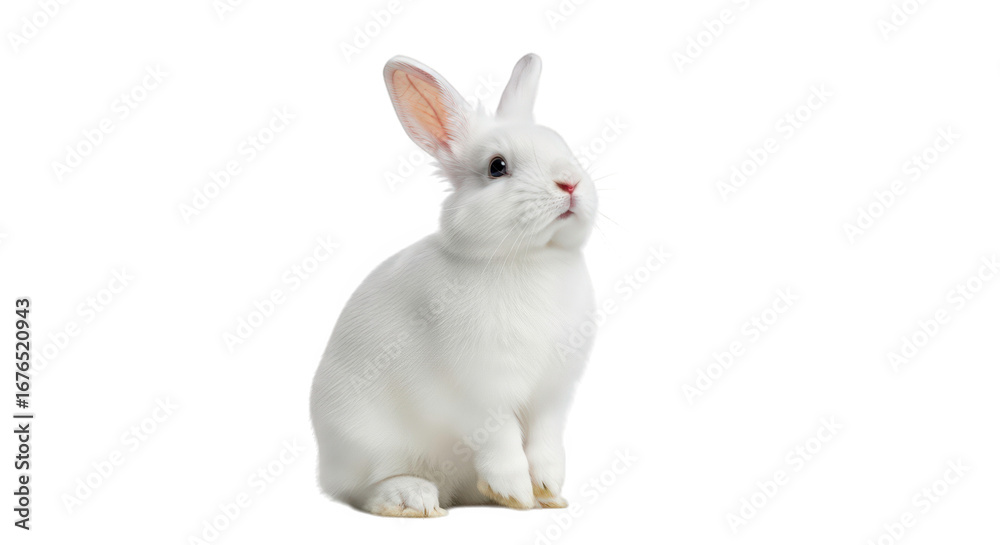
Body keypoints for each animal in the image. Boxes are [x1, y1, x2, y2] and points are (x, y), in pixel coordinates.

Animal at [310, 53, 598, 517]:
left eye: (562, 145)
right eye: (497, 166)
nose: (570, 182)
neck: (530, 257)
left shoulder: (552, 395)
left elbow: (545, 445)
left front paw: (549, 493)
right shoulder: (479, 393)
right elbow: (501, 441)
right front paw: (515, 494)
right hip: (365, 441)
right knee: (362, 489)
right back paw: (413, 499)